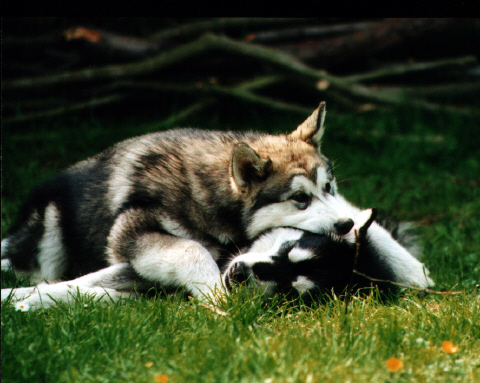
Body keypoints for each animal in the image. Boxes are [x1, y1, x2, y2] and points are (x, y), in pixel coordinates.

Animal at [0, 103, 436, 312]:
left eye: (327, 188)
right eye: (300, 199)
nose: (344, 226)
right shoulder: (132, 231)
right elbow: (189, 251)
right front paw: (215, 295)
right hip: (50, 226)